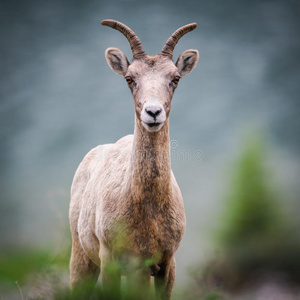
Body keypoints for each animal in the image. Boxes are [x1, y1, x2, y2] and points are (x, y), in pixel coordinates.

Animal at [69, 19, 198, 298]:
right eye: (130, 78)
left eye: (175, 78)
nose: (153, 112)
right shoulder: (110, 263)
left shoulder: (165, 264)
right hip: (81, 257)